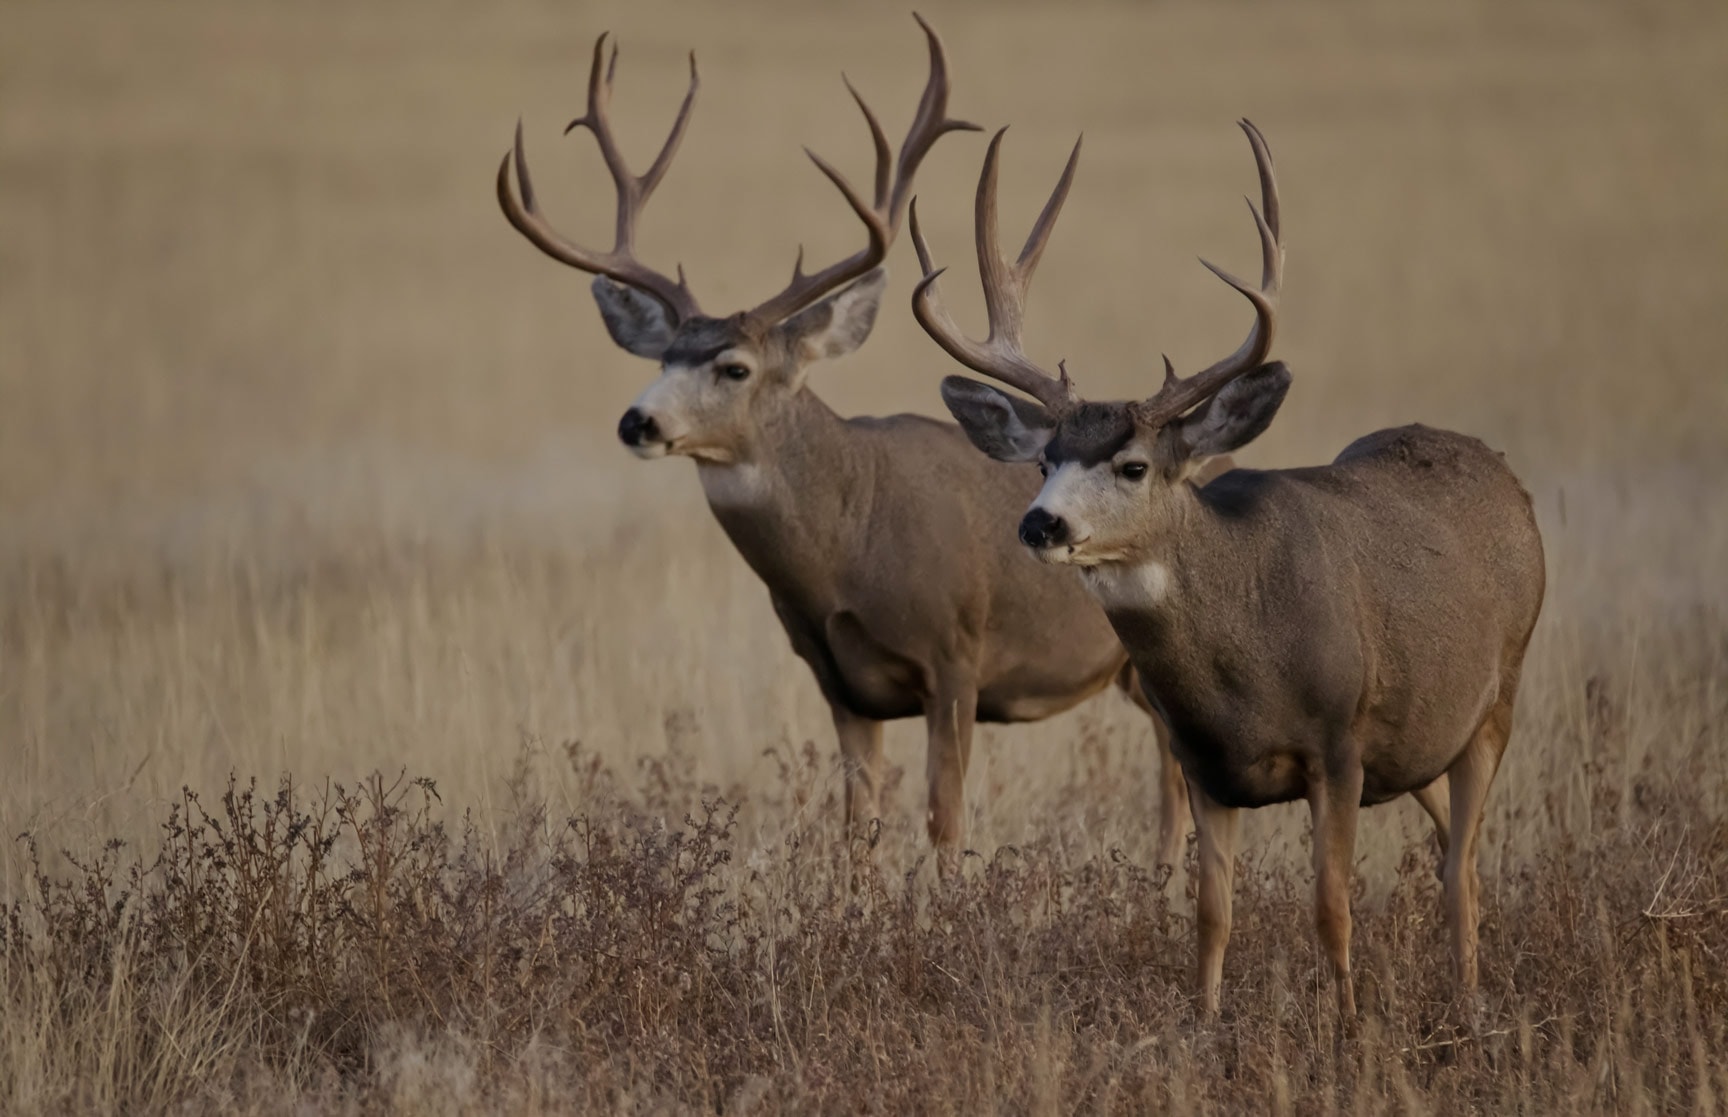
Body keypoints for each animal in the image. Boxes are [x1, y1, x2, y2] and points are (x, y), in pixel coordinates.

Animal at [495, 16, 1201, 876]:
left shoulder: (956, 657)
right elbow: (856, 829)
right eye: (661, 357)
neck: (848, 542)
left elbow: (944, 823)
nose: (639, 422)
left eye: (735, 366)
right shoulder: (839, 683)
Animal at [907, 120, 1545, 1018]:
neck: (1243, 664)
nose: (1040, 522)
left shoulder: (1340, 744)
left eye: (1133, 465)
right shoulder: (1203, 762)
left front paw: (1346, 1022)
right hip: (1426, 734)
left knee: (1463, 869)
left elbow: (1331, 904)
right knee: (1455, 846)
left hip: (1499, 696)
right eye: (1043, 460)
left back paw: (1470, 1001)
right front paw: (1204, 1021)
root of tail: (1507, 479)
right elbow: (1211, 911)